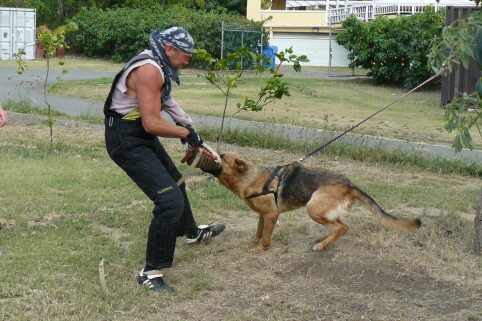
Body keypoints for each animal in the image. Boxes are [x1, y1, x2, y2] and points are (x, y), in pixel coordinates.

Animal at [207, 152, 422, 252]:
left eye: (222, 157)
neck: (250, 179)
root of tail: (349, 184)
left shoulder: (271, 215)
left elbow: (266, 237)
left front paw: (260, 249)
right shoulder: (262, 216)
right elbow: (259, 231)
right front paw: (254, 241)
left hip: (313, 208)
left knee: (341, 227)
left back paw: (321, 245)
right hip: (323, 209)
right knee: (341, 226)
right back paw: (324, 239)